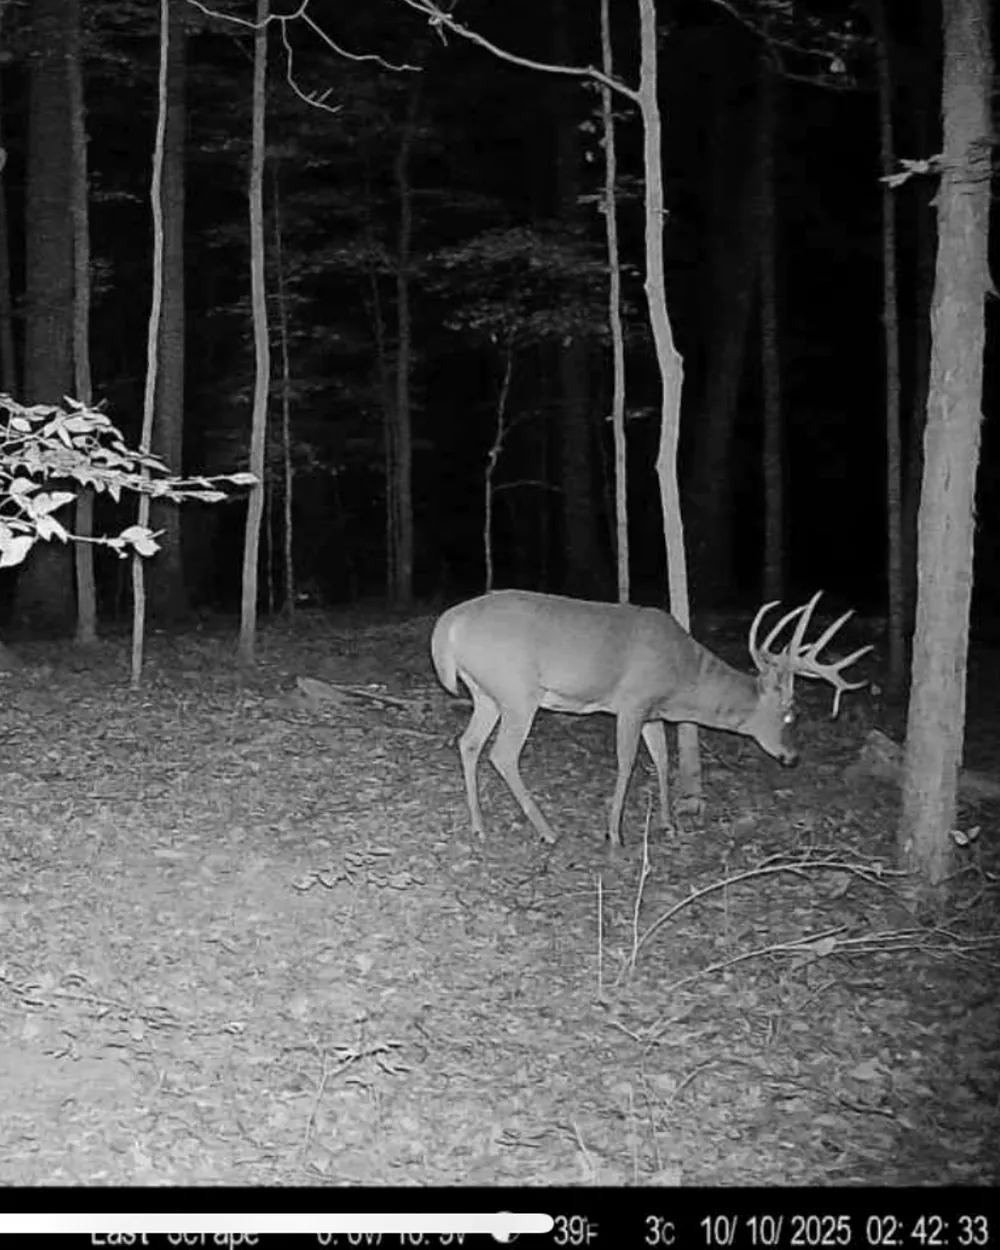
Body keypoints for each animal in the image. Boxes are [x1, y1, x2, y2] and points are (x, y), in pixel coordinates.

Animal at [430, 589, 872, 847]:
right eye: (791, 714)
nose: (792, 757)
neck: (682, 681)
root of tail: (448, 625)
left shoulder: (652, 712)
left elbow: (662, 759)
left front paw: (669, 823)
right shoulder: (632, 702)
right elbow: (627, 762)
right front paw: (615, 832)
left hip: (486, 692)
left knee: (468, 743)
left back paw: (479, 826)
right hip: (518, 691)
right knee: (502, 754)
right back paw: (548, 831)